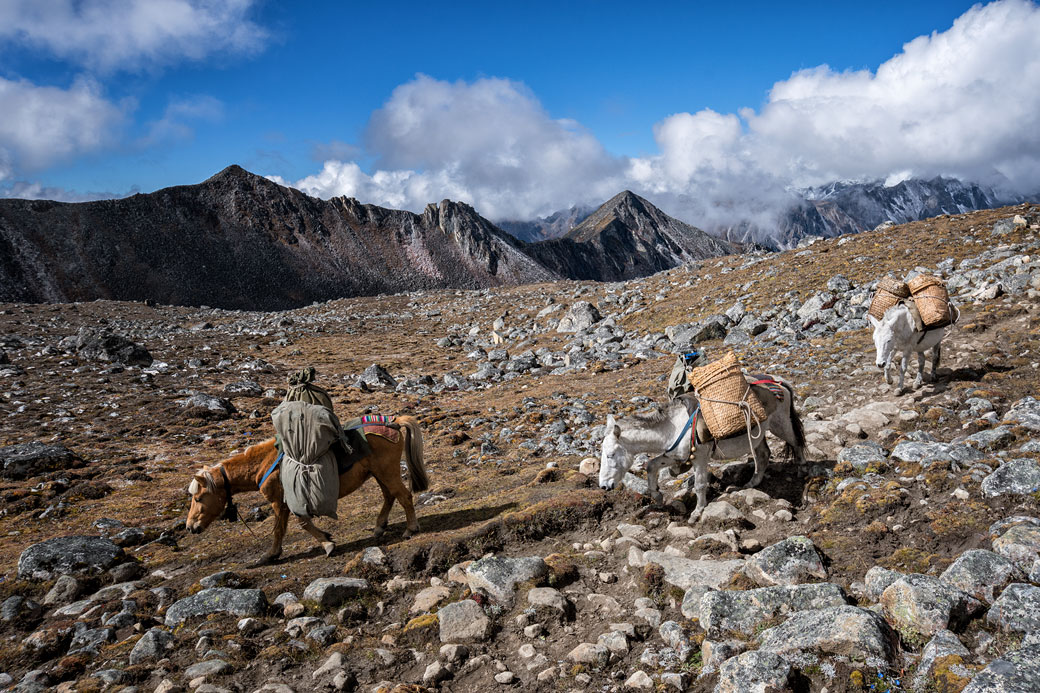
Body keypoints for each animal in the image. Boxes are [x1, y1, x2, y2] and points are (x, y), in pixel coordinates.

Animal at [185, 416, 428, 561]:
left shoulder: (282, 501)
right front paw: (275, 553)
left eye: (198, 498)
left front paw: (325, 544)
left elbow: (291, 526)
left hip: (387, 472)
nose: (190, 527)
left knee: (403, 496)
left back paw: (411, 529)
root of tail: (394, 423)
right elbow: (287, 527)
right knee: (389, 496)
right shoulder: (285, 503)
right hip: (379, 474)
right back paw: (379, 527)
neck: (264, 464)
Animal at [599, 380, 807, 520]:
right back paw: (751, 483)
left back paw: (803, 471)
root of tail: (778, 382)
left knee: (797, 443)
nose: (603, 486)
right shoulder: (676, 456)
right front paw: (657, 496)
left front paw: (697, 512)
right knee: (763, 456)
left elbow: (699, 484)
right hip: (757, 435)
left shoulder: (699, 457)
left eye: (611, 455)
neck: (673, 427)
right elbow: (651, 465)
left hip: (781, 425)